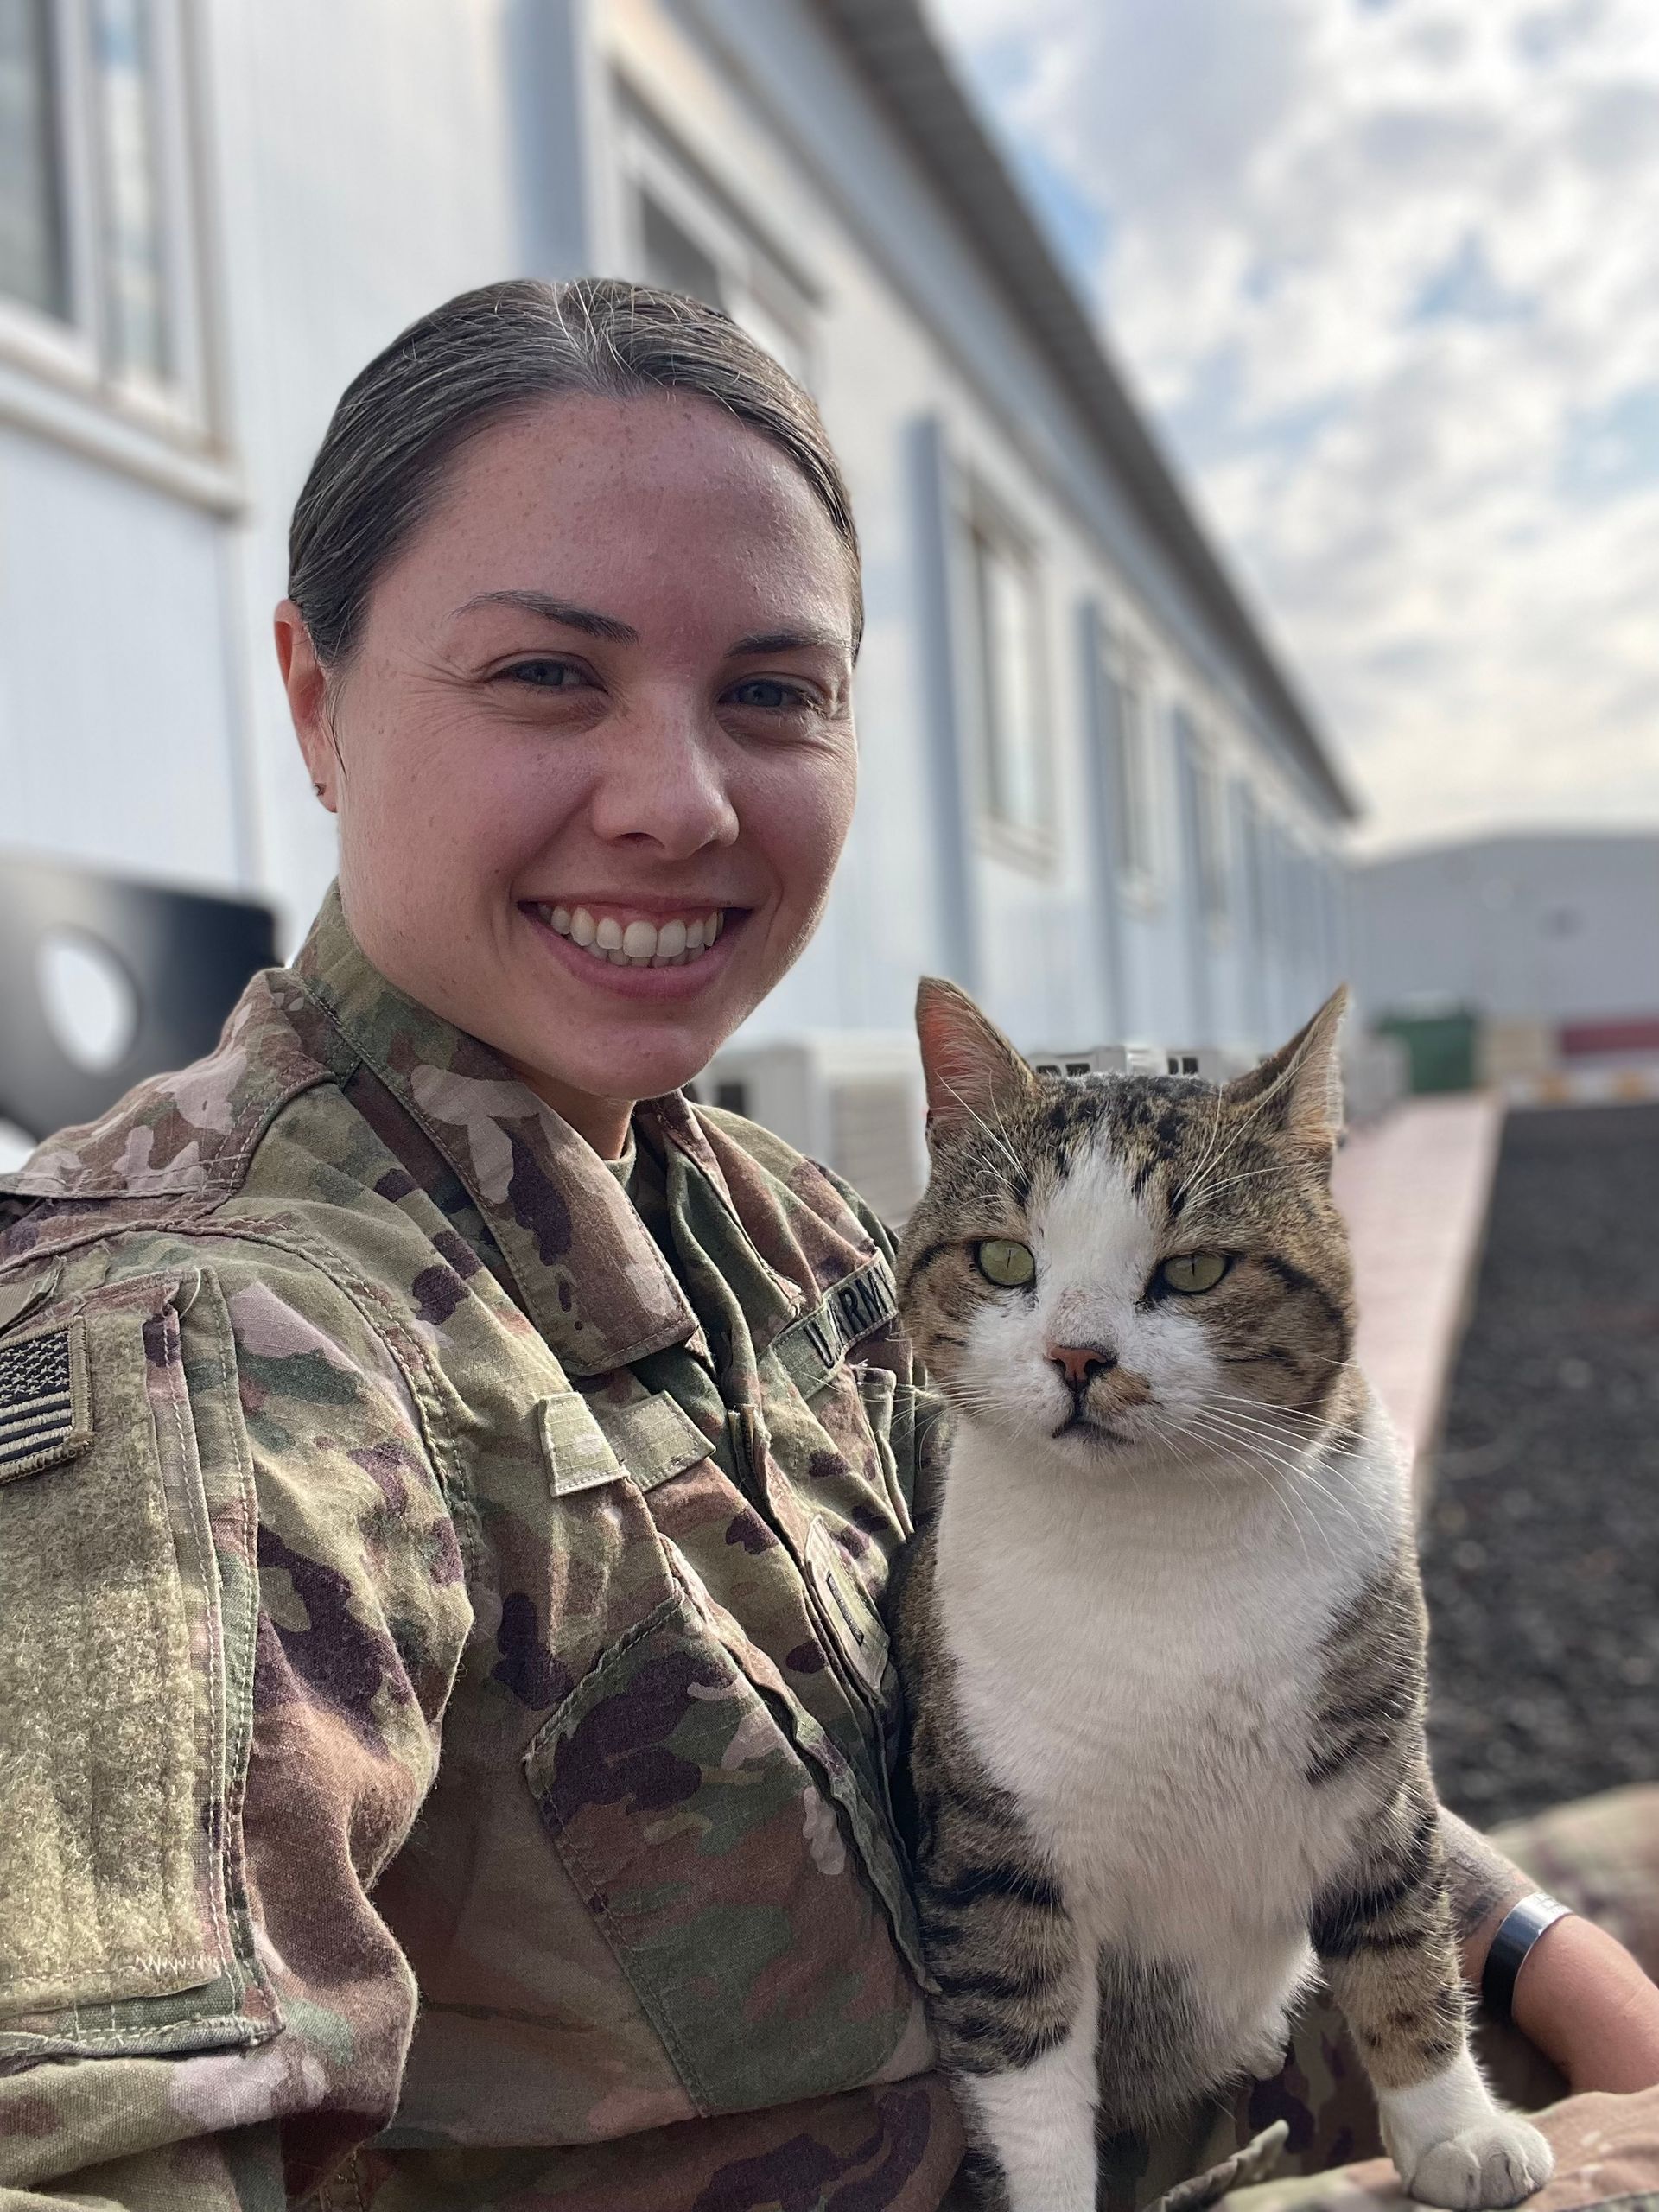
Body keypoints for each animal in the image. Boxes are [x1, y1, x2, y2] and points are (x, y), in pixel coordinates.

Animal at [898, 982, 1557, 2212]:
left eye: (1196, 1271)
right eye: (1003, 1259)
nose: (1078, 1355)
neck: (1162, 1544)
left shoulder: (1371, 1775)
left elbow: (1402, 1945)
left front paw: (1454, 2127)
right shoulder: (998, 1846)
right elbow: (1025, 2057)